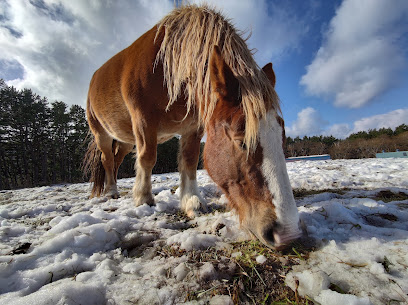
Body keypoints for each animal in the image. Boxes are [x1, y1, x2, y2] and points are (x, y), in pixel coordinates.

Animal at [83, 4, 302, 248]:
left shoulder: (193, 127)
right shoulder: (143, 121)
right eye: (242, 142)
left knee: (117, 159)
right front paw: (143, 199)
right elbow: (148, 158)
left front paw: (192, 202)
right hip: (102, 133)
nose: (288, 233)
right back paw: (111, 191)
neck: (165, 67)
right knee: (107, 159)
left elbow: (189, 159)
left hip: (125, 140)